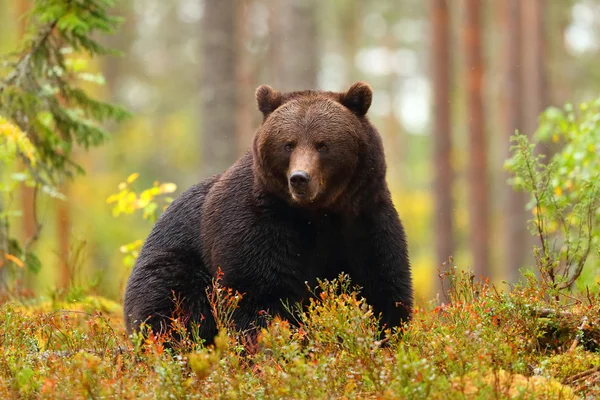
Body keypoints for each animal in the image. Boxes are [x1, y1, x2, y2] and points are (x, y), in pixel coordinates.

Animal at [122, 80, 412, 344]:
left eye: (323, 144)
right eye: (288, 144)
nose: (299, 178)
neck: (317, 213)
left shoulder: (364, 218)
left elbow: (383, 287)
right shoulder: (258, 221)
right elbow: (258, 294)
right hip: (174, 264)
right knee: (171, 306)